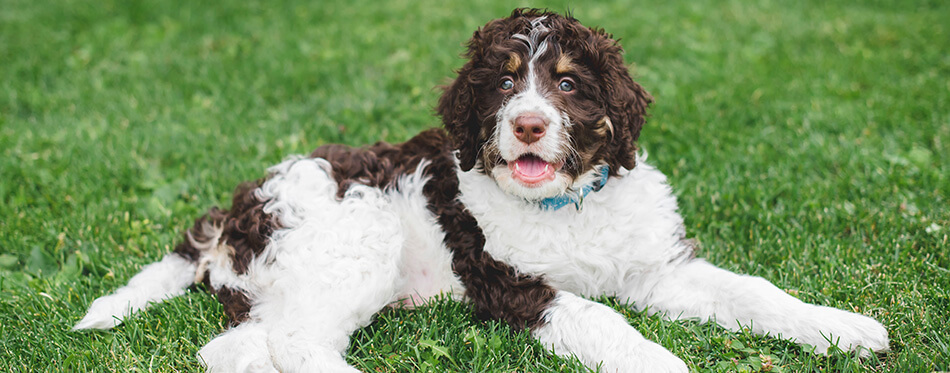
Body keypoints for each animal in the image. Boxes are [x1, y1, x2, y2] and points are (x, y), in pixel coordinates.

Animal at [76, 8, 892, 372]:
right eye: (502, 83)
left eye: (568, 83)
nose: (528, 124)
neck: (567, 203)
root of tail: (236, 209)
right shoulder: (513, 284)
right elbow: (602, 319)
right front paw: (663, 365)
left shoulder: (658, 268)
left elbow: (754, 292)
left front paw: (840, 328)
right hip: (353, 238)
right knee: (295, 340)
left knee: (237, 345)